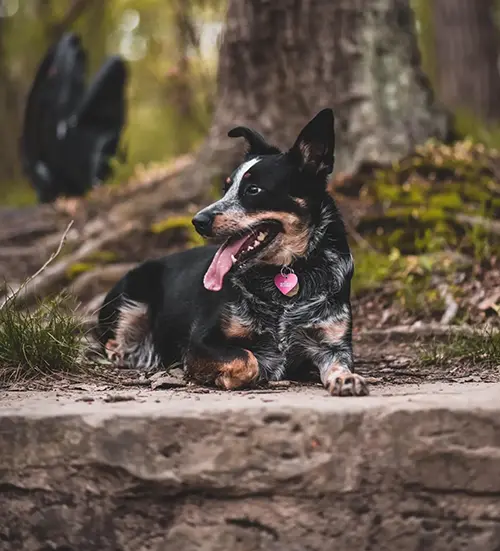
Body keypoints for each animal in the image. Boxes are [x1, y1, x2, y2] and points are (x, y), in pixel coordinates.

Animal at [97, 109, 370, 396]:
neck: (287, 271)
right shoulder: (201, 342)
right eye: (225, 188)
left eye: (253, 189)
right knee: (111, 341)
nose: (198, 221)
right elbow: (247, 360)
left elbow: (340, 363)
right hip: (131, 296)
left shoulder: (332, 341)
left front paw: (346, 378)